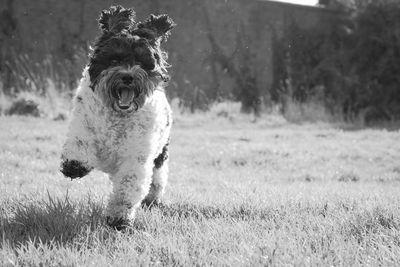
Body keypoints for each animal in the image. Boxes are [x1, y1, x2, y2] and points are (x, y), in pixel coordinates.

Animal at [60, 5, 175, 229]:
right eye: (114, 59)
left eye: (141, 61)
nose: (127, 76)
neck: (118, 115)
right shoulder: (84, 119)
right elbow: (79, 140)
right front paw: (74, 165)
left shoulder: (135, 157)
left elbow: (126, 190)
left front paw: (118, 219)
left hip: (159, 155)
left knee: (157, 179)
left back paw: (153, 199)